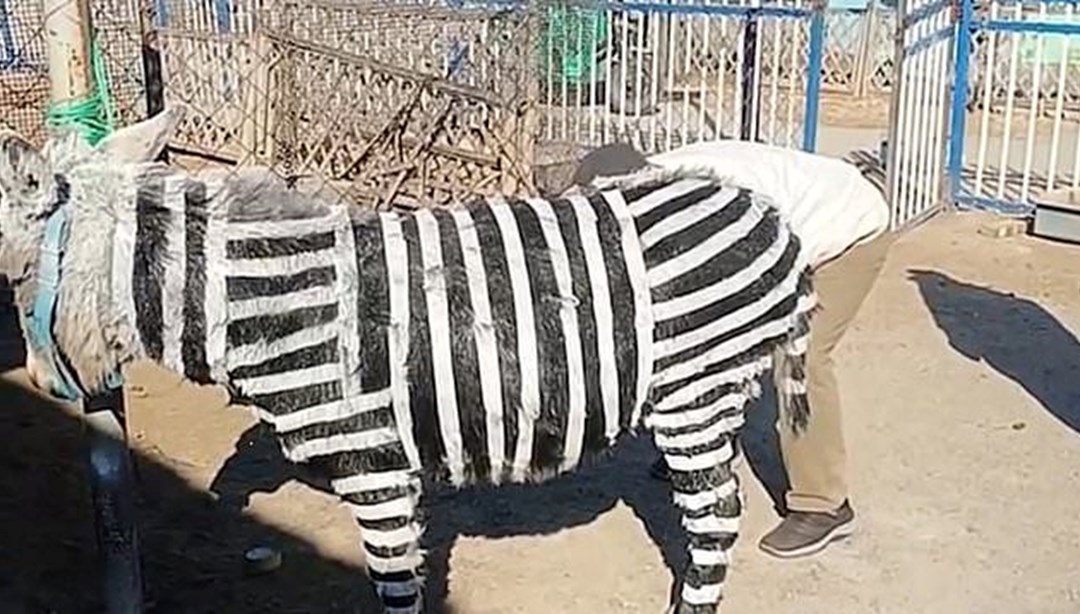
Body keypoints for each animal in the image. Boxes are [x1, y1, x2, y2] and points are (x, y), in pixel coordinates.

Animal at [0, 110, 814, 614]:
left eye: (13, 274)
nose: (39, 384)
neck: (277, 300)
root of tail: (765, 211)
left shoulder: (377, 468)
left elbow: (395, 587)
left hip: (696, 396)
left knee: (715, 520)